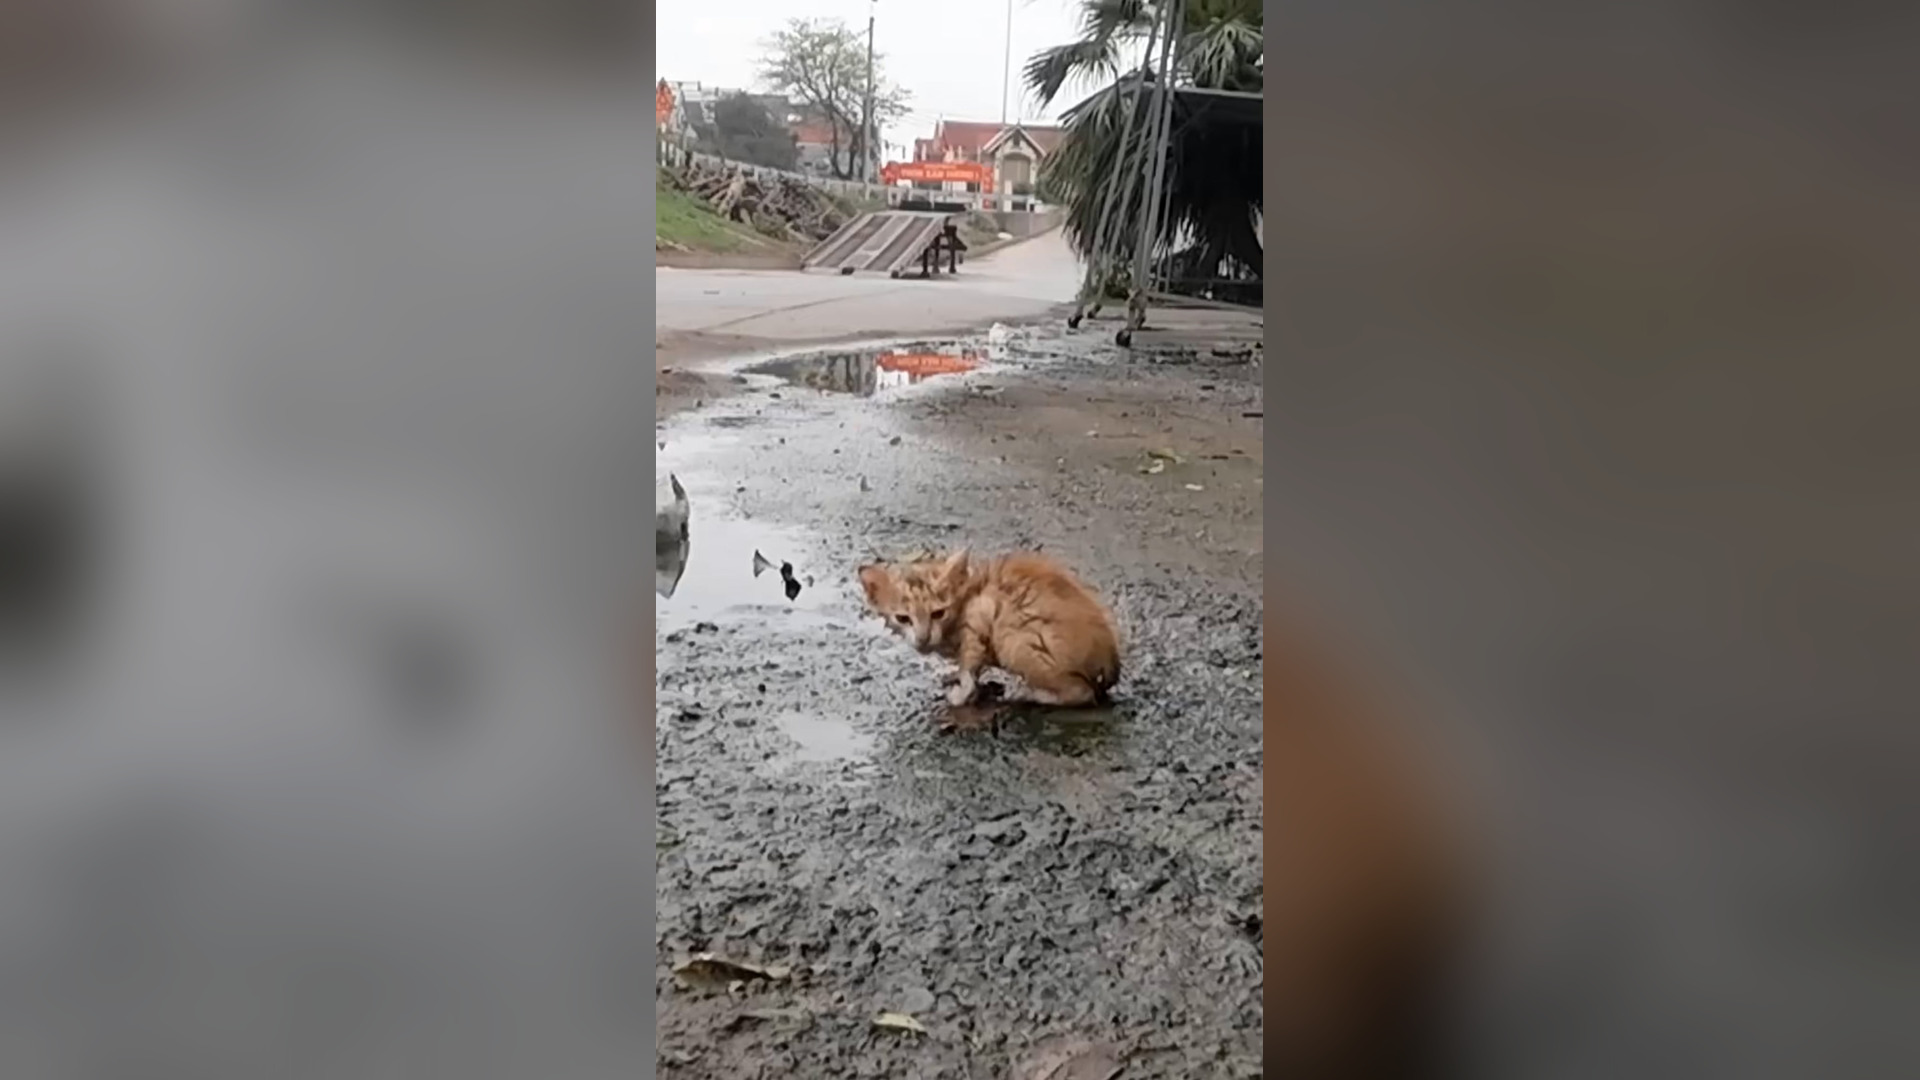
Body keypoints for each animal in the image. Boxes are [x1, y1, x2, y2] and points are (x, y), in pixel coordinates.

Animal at [857, 549, 1120, 708]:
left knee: (1082, 693)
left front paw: (962, 693)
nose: (922, 639)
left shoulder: (980, 610)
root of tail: (1110, 657)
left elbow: (969, 662)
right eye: (903, 618)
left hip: (1014, 640)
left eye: (938, 613)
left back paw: (1027, 693)